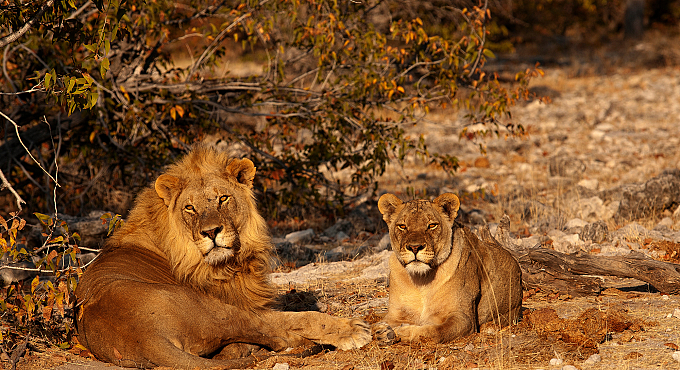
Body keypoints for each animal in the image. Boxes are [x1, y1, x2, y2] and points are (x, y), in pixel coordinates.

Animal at [73, 146, 370, 368]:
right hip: (220, 311)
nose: (211, 231)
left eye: (223, 198)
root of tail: (146, 338)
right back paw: (350, 331)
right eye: (190, 208)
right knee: (279, 332)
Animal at [374, 194, 524, 344]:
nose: (414, 247)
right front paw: (382, 331)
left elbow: (435, 332)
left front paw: (405, 331)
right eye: (402, 226)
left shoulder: (464, 318)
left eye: (432, 225)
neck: (421, 280)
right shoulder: (395, 314)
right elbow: (379, 324)